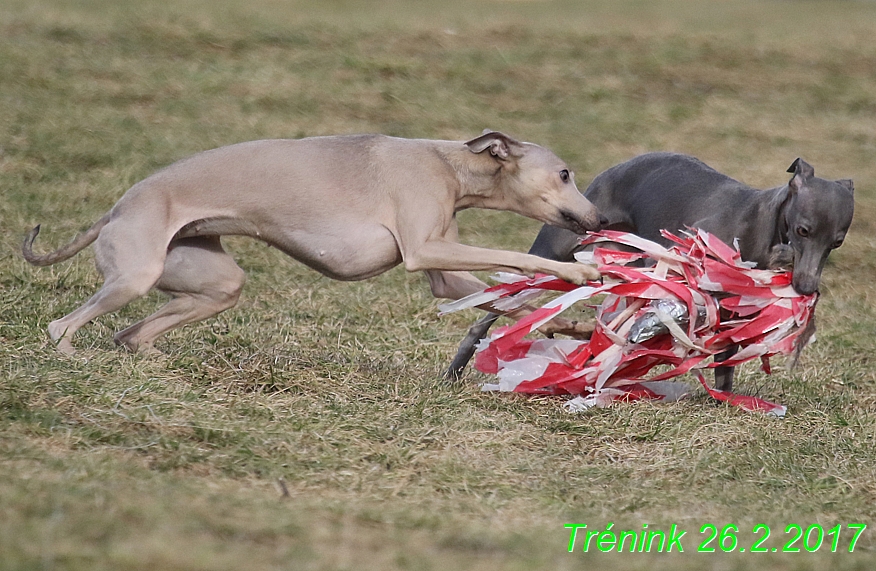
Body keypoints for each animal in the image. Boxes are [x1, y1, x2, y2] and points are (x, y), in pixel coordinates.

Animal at [24, 131, 604, 354]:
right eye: (565, 173)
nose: (598, 218)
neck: (452, 165)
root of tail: (117, 208)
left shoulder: (446, 271)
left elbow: (511, 302)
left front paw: (574, 324)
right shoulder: (424, 248)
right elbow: (513, 258)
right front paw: (579, 273)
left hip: (211, 281)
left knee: (133, 333)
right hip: (136, 274)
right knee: (62, 325)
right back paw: (70, 355)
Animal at [448, 154, 852, 392]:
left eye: (837, 242)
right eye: (802, 229)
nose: (806, 287)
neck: (761, 223)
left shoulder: (731, 307)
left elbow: (725, 361)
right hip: (555, 250)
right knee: (492, 309)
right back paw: (457, 367)